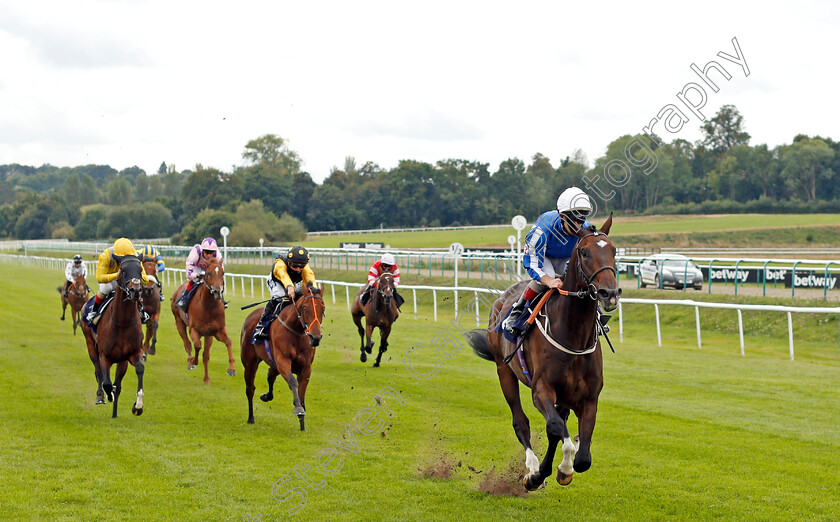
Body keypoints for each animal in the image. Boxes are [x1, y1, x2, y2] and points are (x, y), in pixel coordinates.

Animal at [80, 254, 148, 416]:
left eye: (140, 269)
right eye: (122, 270)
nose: (135, 290)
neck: (122, 323)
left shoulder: (133, 353)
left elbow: (139, 369)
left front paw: (138, 406)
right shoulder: (105, 355)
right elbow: (106, 382)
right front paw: (108, 394)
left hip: (122, 360)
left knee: (117, 380)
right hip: (90, 343)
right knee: (98, 370)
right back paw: (101, 396)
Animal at [241, 282, 326, 428]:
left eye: (323, 308)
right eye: (305, 308)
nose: (315, 338)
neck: (296, 332)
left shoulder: (305, 368)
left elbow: (302, 394)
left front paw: (302, 424)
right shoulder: (282, 361)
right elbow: (292, 382)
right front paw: (298, 409)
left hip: (273, 364)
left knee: (270, 376)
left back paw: (266, 396)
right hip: (250, 363)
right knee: (250, 389)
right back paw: (251, 418)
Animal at [462, 214, 620, 488]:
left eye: (613, 251)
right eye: (585, 253)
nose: (609, 292)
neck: (573, 336)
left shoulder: (588, 398)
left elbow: (582, 457)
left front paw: (565, 465)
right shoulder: (541, 389)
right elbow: (556, 430)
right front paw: (538, 475)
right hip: (504, 370)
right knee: (520, 421)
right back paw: (532, 465)